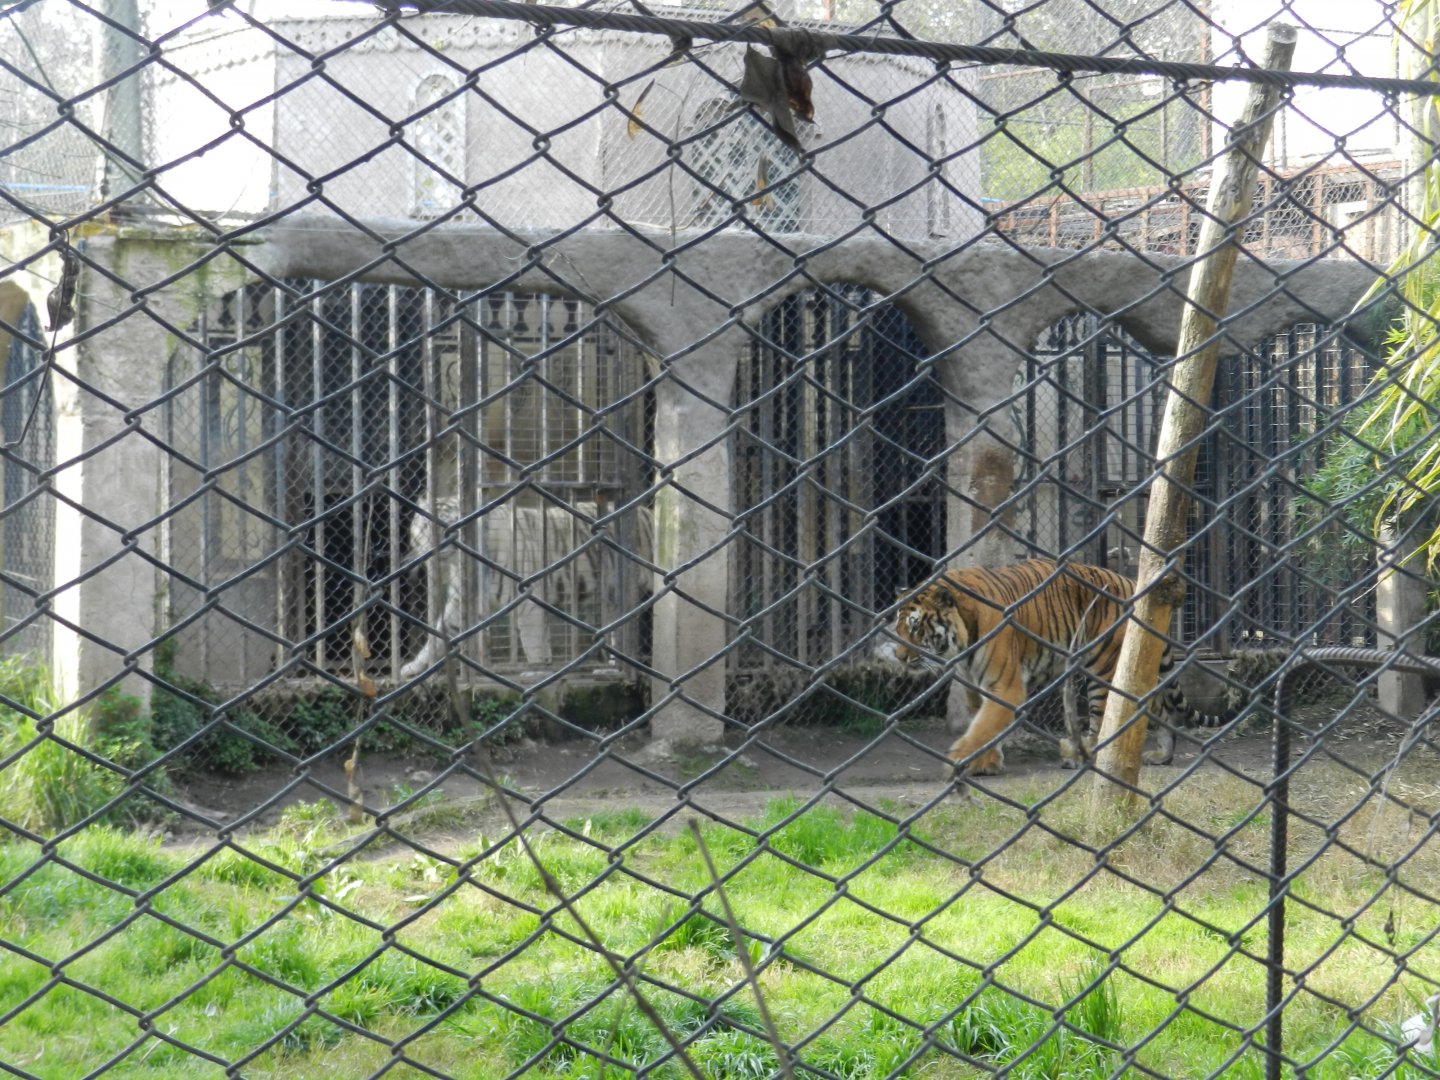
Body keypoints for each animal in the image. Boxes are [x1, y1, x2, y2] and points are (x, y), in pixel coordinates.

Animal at [890, 559, 1224, 775]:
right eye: (899, 627)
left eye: (915, 627)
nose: (899, 656)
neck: (961, 643)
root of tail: (1130, 582)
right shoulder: (973, 685)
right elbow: (982, 724)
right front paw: (987, 762)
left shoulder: (1005, 686)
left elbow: (985, 726)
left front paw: (965, 759)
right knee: (1157, 708)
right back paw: (1163, 755)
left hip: (1102, 667)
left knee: (1103, 719)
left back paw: (1085, 757)